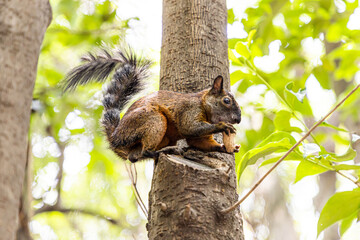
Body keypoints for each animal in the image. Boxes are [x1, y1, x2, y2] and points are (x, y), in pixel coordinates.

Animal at [63, 47, 242, 162]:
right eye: (226, 101)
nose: (238, 119)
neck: (203, 104)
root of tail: (115, 138)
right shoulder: (189, 110)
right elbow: (190, 127)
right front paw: (222, 126)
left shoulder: (199, 136)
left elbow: (200, 142)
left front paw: (225, 147)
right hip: (153, 120)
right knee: (145, 151)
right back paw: (163, 151)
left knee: (134, 157)